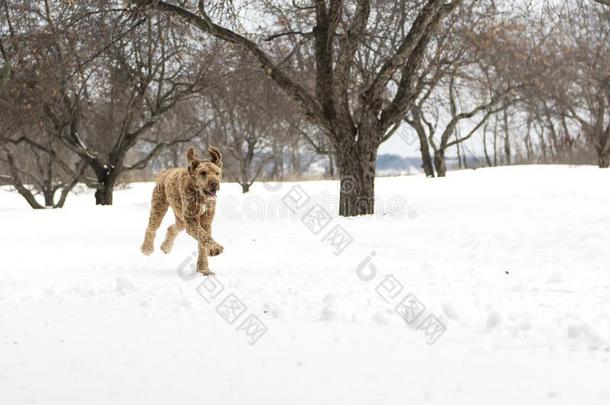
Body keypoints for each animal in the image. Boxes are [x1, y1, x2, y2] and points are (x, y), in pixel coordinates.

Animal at [140, 145, 223, 274]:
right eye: (203, 172)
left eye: (217, 173)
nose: (214, 183)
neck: (199, 195)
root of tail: (164, 172)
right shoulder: (191, 219)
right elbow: (204, 236)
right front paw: (215, 248)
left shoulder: (205, 220)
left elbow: (202, 241)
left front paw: (203, 269)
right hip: (159, 207)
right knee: (151, 228)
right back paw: (147, 248)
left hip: (181, 217)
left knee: (172, 228)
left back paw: (166, 247)